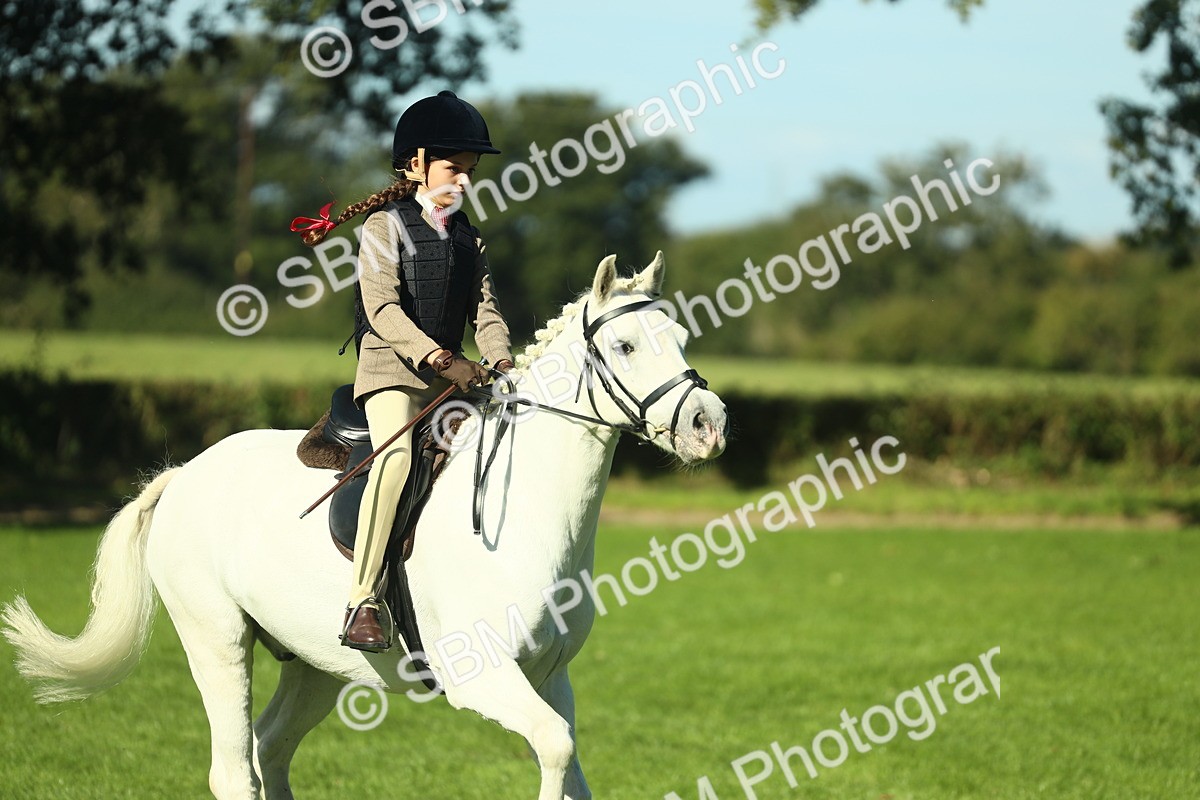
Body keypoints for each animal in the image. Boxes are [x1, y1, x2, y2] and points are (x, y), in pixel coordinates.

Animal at [2, 252, 728, 800]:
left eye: (681, 340)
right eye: (625, 345)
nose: (708, 424)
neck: (523, 515)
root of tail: (182, 474)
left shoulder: (552, 678)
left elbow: (572, 764)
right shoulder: (487, 678)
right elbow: (554, 748)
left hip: (313, 662)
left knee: (271, 749)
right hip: (217, 640)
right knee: (235, 769)